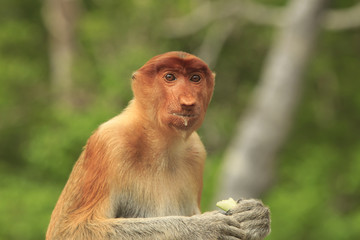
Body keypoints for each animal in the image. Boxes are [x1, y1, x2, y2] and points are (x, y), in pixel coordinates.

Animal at [45, 51, 270, 239]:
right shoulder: (108, 143)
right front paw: (203, 227)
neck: (159, 143)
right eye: (170, 77)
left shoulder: (197, 152)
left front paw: (255, 216)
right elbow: (70, 230)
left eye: (195, 78)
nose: (187, 101)